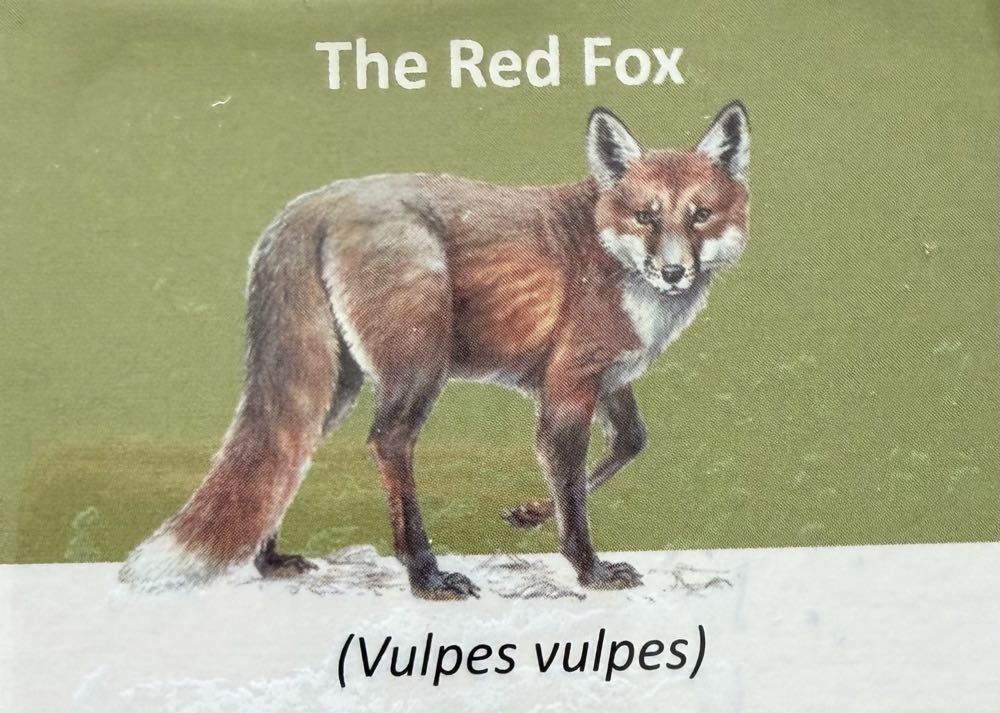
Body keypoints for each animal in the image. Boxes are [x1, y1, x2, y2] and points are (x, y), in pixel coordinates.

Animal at [120, 102, 750, 599]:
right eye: (646, 216)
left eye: (701, 215)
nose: (673, 272)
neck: (611, 254)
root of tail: (312, 203)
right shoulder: (570, 380)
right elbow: (571, 485)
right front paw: (587, 568)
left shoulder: (611, 378)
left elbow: (629, 443)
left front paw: (527, 515)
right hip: (420, 365)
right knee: (388, 441)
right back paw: (424, 573)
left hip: (338, 383)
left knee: (292, 447)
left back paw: (268, 560)